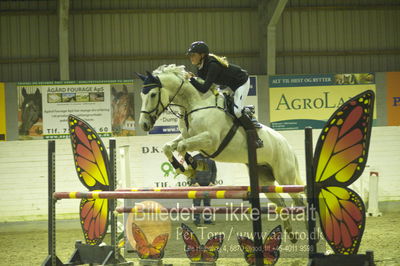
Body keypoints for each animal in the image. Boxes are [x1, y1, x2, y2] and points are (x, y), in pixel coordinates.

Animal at [138, 64, 304, 239]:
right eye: (142, 96)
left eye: (153, 94)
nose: (143, 124)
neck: (194, 104)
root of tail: (288, 146)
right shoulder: (187, 136)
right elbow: (169, 147)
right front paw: (185, 168)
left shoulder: (210, 140)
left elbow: (183, 146)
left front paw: (193, 167)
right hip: (265, 179)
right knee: (281, 202)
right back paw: (291, 234)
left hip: (284, 177)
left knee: (300, 201)